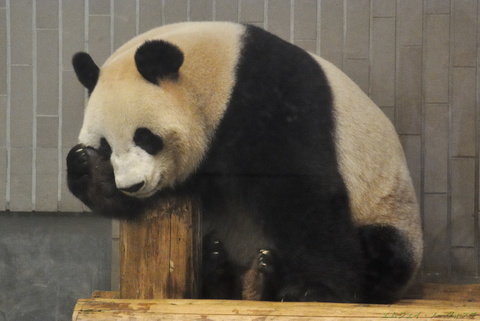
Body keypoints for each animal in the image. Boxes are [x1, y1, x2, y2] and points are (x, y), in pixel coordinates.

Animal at [66, 20, 420, 302]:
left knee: (384, 255)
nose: (133, 184)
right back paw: (220, 270)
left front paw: (317, 290)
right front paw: (87, 169)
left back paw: (267, 279)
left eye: (145, 137)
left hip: (390, 214)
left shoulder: (271, 100)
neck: (221, 78)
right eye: (105, 147)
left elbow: (301, 193)